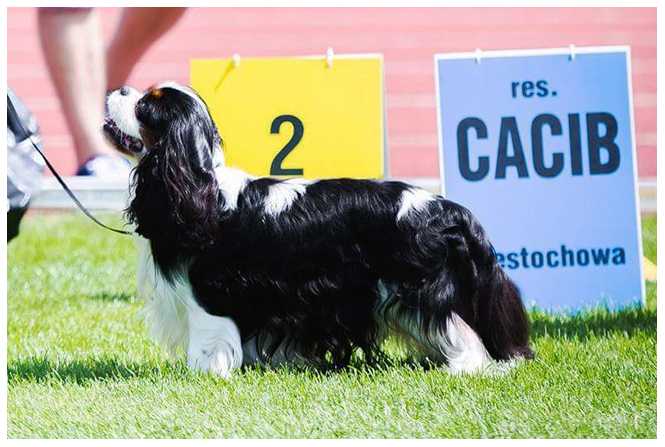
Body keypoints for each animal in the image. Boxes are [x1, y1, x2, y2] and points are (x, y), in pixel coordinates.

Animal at [104, 81, 532, 378]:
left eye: (145, 105)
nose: (119, 88)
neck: (200, 188)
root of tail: (450, 209)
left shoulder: (210, 297)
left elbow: (209, 342)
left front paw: (205, 375)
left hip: (422, 290)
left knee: (461, 332)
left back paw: (462, 367)